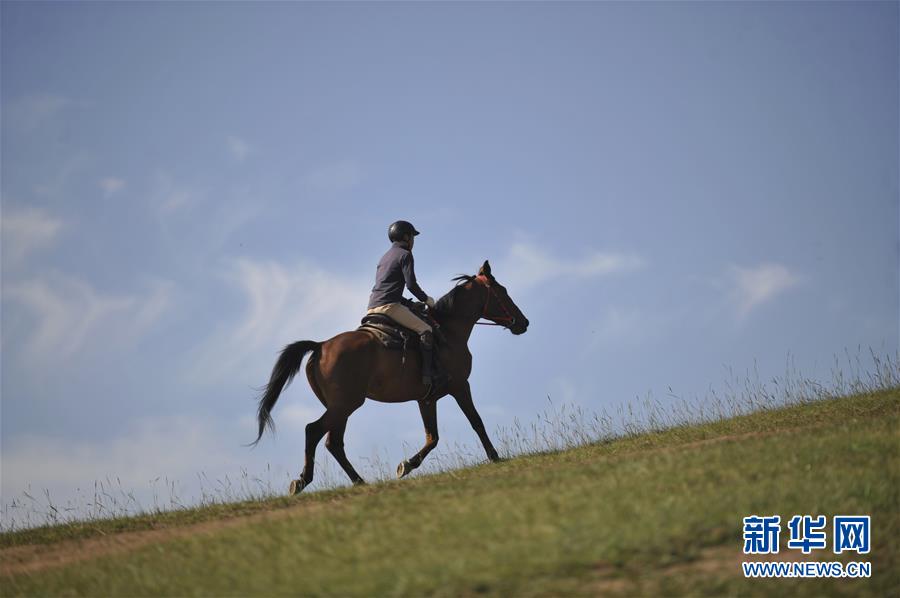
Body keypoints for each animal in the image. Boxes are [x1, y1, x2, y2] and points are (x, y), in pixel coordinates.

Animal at [252, 260, 530, 494]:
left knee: (334, 442)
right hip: (345, 404)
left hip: (341, 407)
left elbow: (433, 437)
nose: (523, 323)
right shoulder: (461, 386)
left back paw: (358, 481)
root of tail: (320, 346)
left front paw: (407, 464)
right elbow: (476, 422)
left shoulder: (426, 399)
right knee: (314, 431)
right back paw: (303, 480)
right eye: (502, 291)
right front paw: (494, 456)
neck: (449, 330)